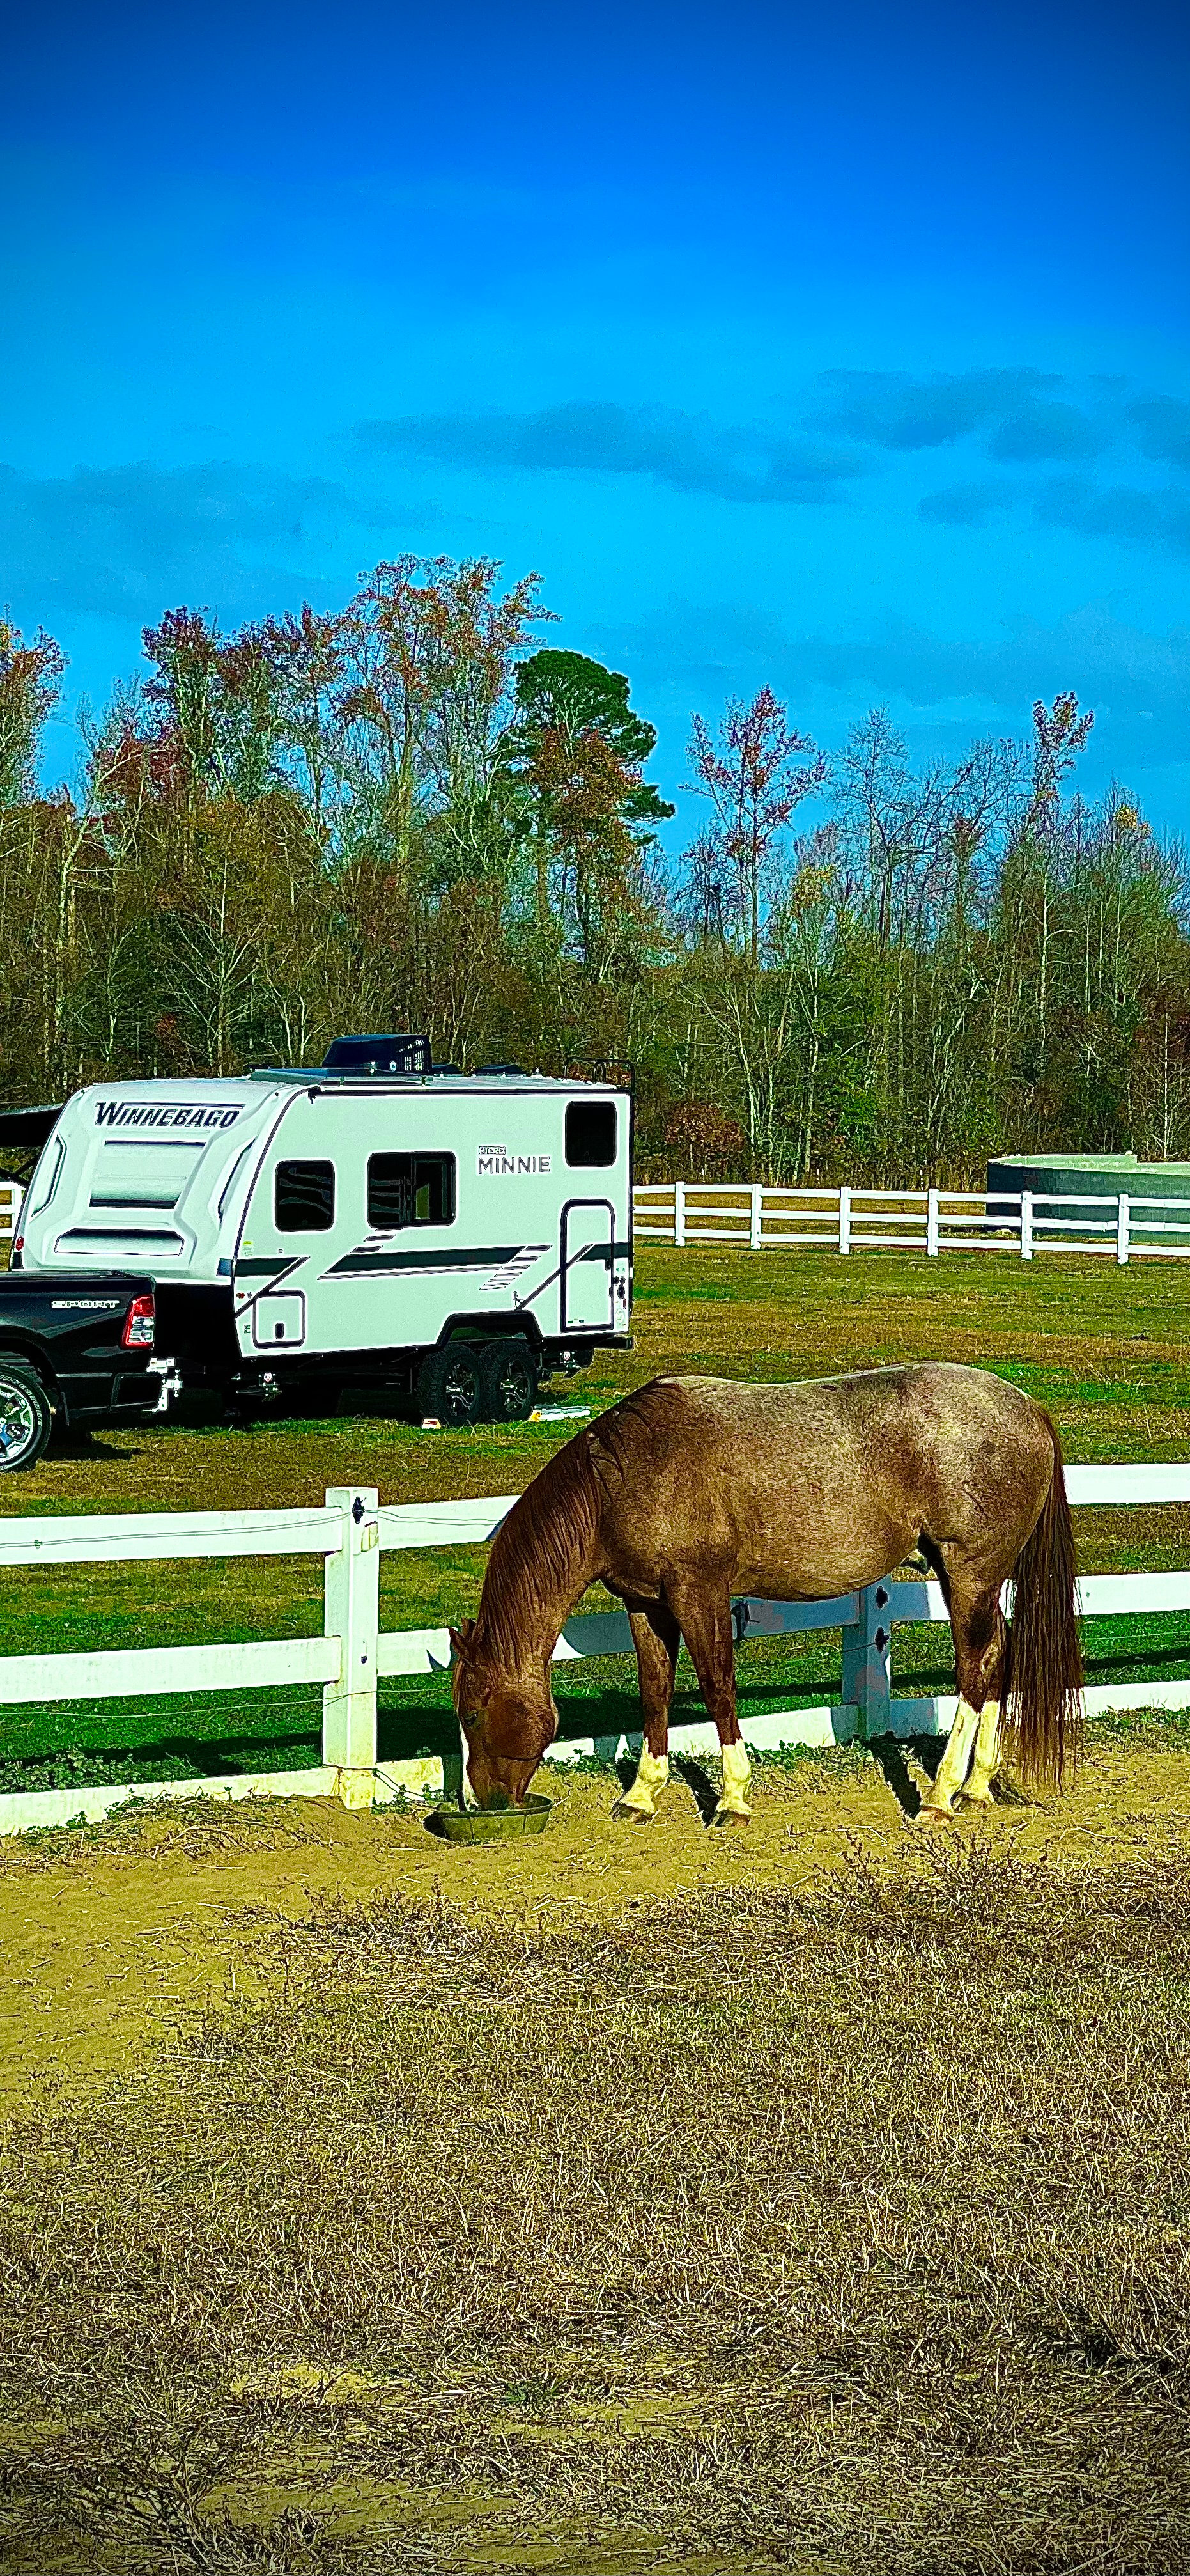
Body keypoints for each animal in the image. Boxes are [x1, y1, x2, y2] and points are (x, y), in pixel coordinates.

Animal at [449, 1363, 1083, 1827]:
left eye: (474, 1714)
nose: (483, 1802)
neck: (628, 1472)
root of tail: (1028, 1408)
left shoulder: (698, 1594)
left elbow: (718, 1688)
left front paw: (732, 1798)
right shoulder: (647, 1605)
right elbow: (655, 1692)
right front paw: (642, 1795)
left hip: (968, 1573)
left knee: (974, 1667)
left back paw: (940, 1794)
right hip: (977, 1580)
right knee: (998, 1655)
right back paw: (976, 1786)